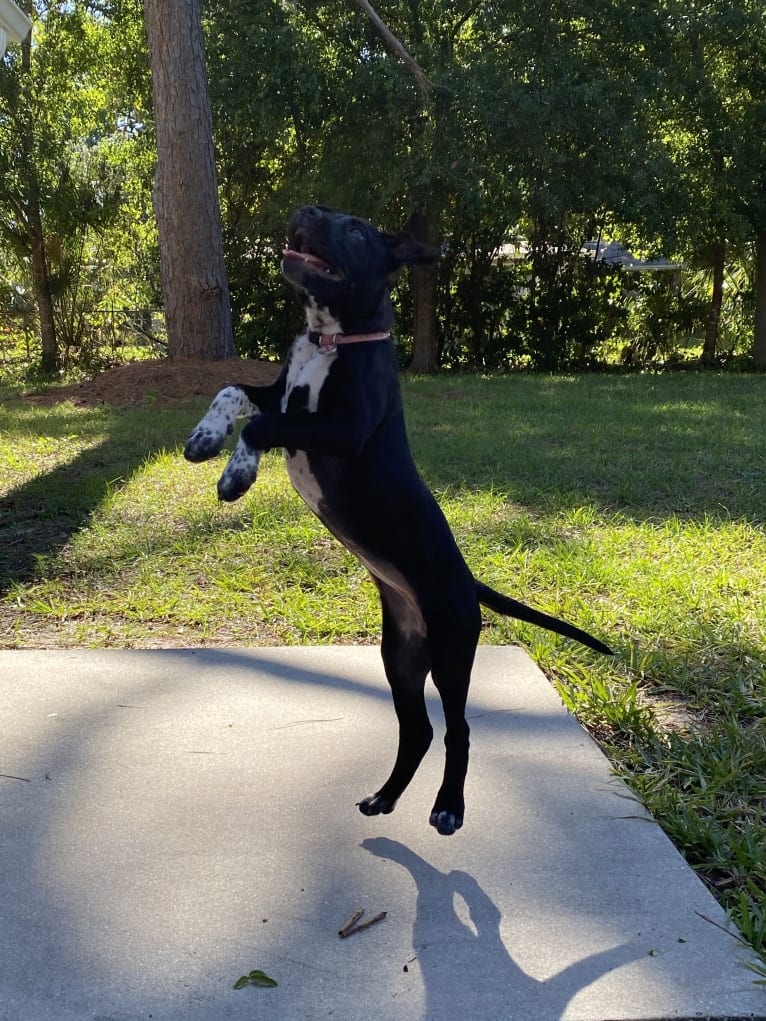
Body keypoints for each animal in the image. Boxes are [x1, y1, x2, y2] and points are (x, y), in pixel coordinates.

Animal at [185, 205, 612, 837]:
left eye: (356, 231)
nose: (306, 210)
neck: (332, 337)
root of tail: (469, 583)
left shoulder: (343, 427)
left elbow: (260, 425)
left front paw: (237, 474)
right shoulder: (279, 393)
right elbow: (231, 389)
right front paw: (204, 439)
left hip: (454, 651)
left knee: (458, 729)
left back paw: (449, 806)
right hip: (402, 656)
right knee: (420, 730)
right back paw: (384, 798)